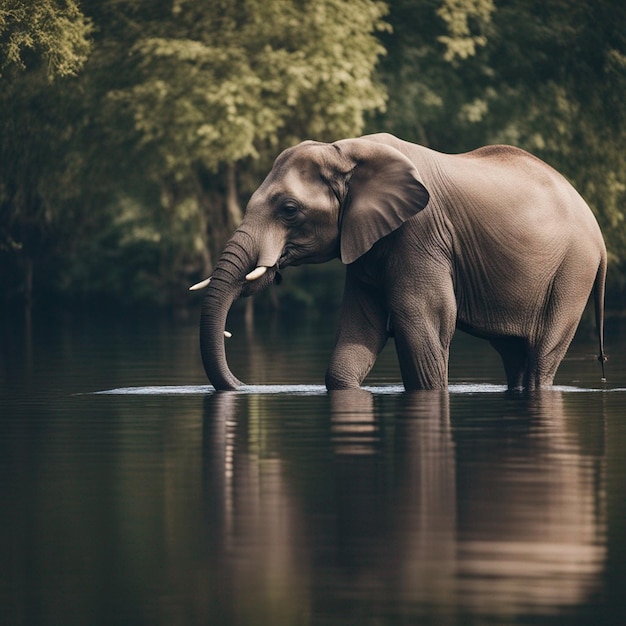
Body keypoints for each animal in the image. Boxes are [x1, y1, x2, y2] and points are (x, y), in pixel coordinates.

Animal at [191, 132, 604, 390]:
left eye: (289, 210)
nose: (246, 386)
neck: (344, 150)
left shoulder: (420, 231)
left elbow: (420, 316)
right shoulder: (365, 240)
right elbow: (360, 328)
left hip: (572, 271)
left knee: (539, 358)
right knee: (514, 354)